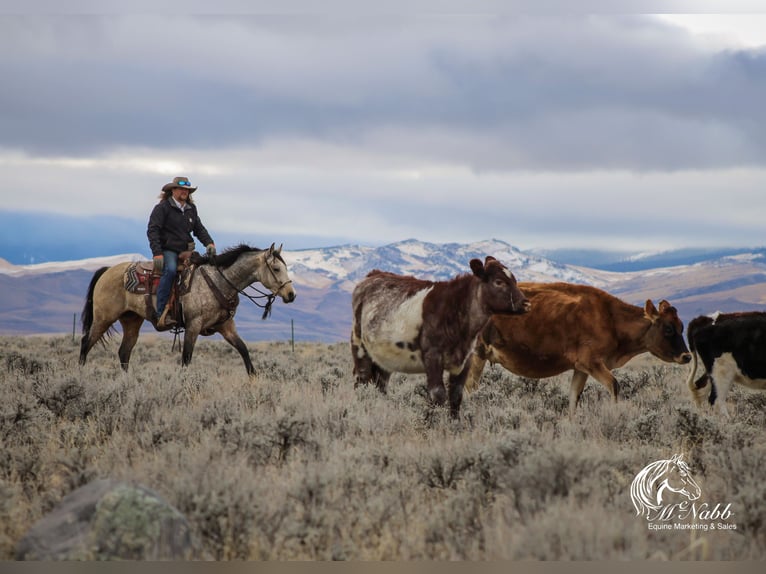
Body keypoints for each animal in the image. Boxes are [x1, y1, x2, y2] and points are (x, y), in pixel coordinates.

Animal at [79, 244, 296, 376]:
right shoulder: (193, 326)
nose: (291, 294)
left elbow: (244, 351)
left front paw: (254, 379)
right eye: (276, 269)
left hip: (131, 321)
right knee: (86, 342)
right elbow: (186, 358)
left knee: (124, 352)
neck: (219, 282)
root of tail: (106, 270)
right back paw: (80, 374)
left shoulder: (226, 327)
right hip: (104, 318)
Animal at [352, 258, 532, 420]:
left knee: (381, 384)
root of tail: (373, 275)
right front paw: (431, 422)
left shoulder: (466, 358)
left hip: (384, 358)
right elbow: (437, 394)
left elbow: (456, 395)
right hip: (360, 346)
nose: (526, 303)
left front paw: (454, 423)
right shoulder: (433, 356)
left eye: (514, 279)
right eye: (498, 281)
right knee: (361, 380)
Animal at [464, 282, 692, 416]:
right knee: (469, 388)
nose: (687, 356)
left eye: (682, 327)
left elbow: (574, 398)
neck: (610, 317)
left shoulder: (580, 368)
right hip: (477, 355)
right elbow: (614, 386)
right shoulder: (592, 363)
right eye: (668, 329)